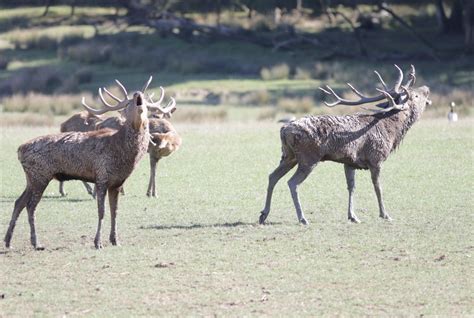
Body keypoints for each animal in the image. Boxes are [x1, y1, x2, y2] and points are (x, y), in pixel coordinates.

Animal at [4, 76, 175, 248]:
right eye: (127, 104)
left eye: (145, 103)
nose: (137, 94)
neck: (124, 155)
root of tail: (20, 150)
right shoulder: (102, 176)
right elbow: (102, 212)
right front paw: (97, 242)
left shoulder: (117, 183)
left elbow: (115, 211)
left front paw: (115, 240)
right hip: (40, 175)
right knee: (30, 206)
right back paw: (35, 242)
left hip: (31, 178)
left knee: (19, 202)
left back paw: (8, 240)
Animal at [260, 64, 430, 224]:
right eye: (415, 95)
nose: (427, 89)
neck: (392, 132)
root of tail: (284, 130)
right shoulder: (376, 158)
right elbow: (378, 187)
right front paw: (385, 214)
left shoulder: (350, 162)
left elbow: (351, 187)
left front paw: (353, 216)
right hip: (308, 158)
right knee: (292, 183)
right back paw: (302, 218)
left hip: (288, 156)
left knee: (272, 176)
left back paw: (263, 214)